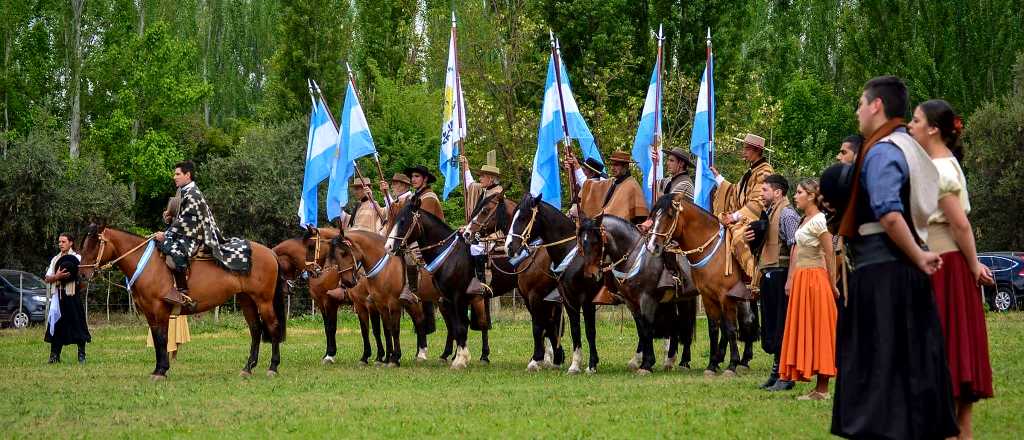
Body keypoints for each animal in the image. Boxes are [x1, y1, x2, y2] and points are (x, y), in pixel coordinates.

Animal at [76, 225, 286, 380]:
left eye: (95, 245)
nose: (82, 275)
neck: (147, 264)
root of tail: (270, 253)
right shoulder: (149, 312)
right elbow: (157, 338)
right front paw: (158, 369)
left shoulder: (159, 309)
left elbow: (162, 338)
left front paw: (161, 371)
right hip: (247, 300)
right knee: (256, 330)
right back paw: (248, 368)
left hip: (264, 301)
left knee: (272, 327)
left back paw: (273, 367)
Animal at [647, 194, 761, 376]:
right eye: (653, 215)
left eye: (670, 215)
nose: (652, 246)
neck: (714, 253)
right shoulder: (708, 297)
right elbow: (714, 328)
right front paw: (712, 365)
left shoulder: (726, 297)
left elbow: (730, 328)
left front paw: (732, 365)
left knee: (746, 321)